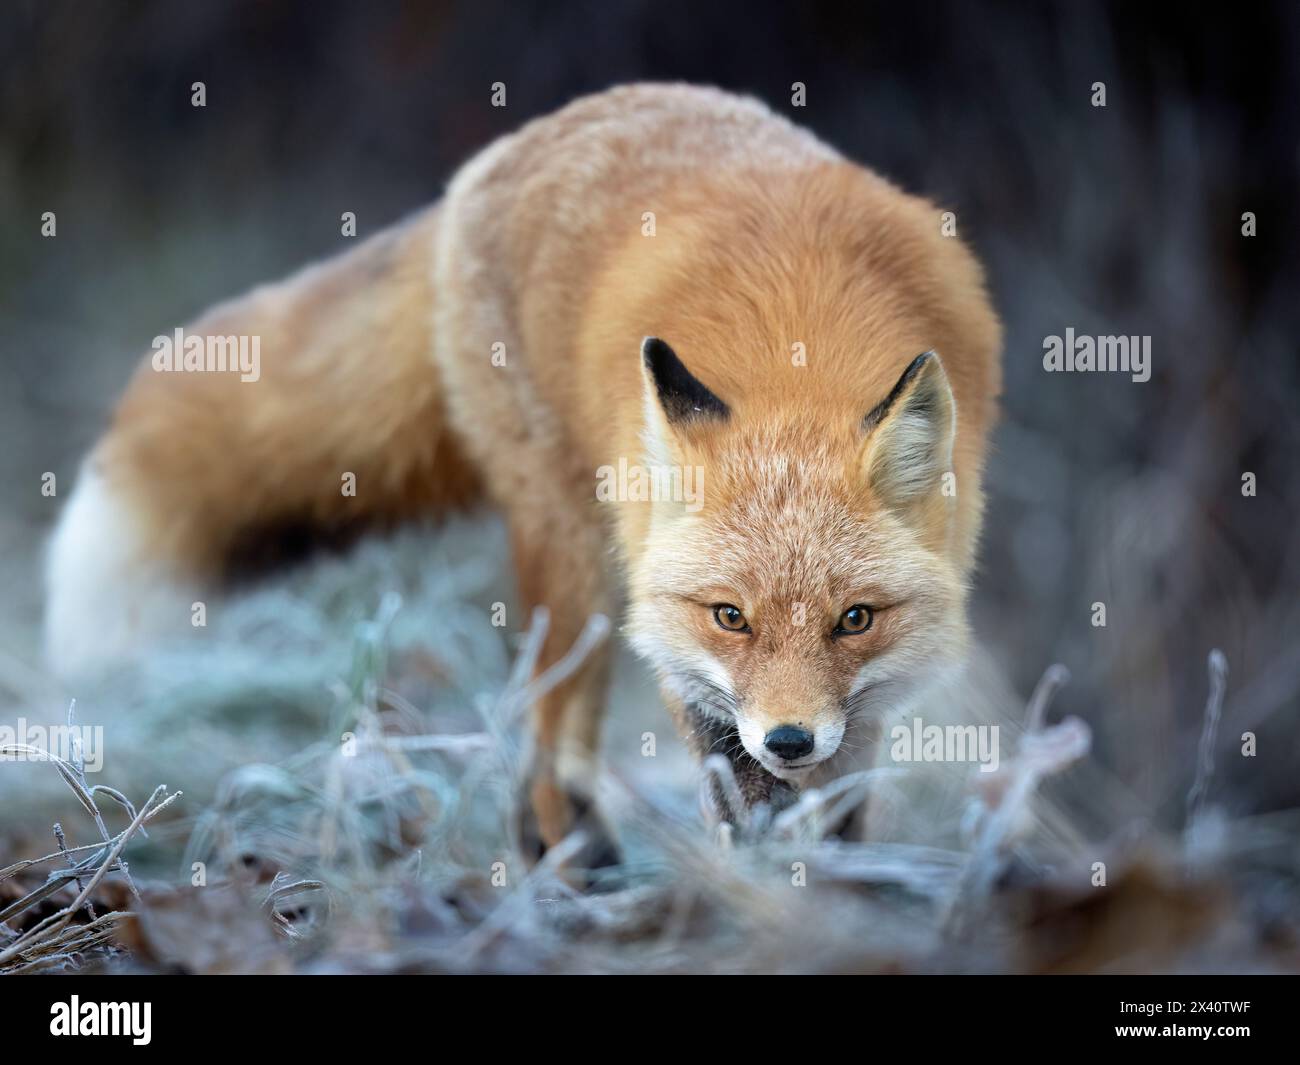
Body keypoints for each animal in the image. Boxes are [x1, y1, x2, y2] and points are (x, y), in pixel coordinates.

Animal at [45, 84, 1001, 871]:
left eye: (855, 619)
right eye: (730, 615)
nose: (791, 738)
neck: (797, 349)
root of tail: (514, 145)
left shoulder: (865, 698)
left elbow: (841, 803)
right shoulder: (678, 635)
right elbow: (735, 779)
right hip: (574, 551)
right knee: (549, 726)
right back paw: (571, 862)